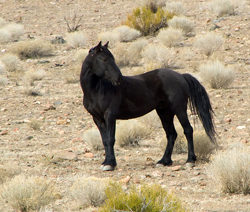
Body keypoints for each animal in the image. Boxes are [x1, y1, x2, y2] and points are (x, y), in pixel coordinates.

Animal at [80, 41, 215, 171]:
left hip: (179, 109)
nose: (119, 78)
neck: (98, 90)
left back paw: (189, 161)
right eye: (104, 59)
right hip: (165, 112)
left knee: (188, 130)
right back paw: (164, 161)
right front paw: (106, 162)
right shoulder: (98, 118)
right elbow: (104, 140)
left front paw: (110, 164)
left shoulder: (110, 116)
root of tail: (181, 76)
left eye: (112, 58)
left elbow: (110, 139)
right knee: (171, 134)